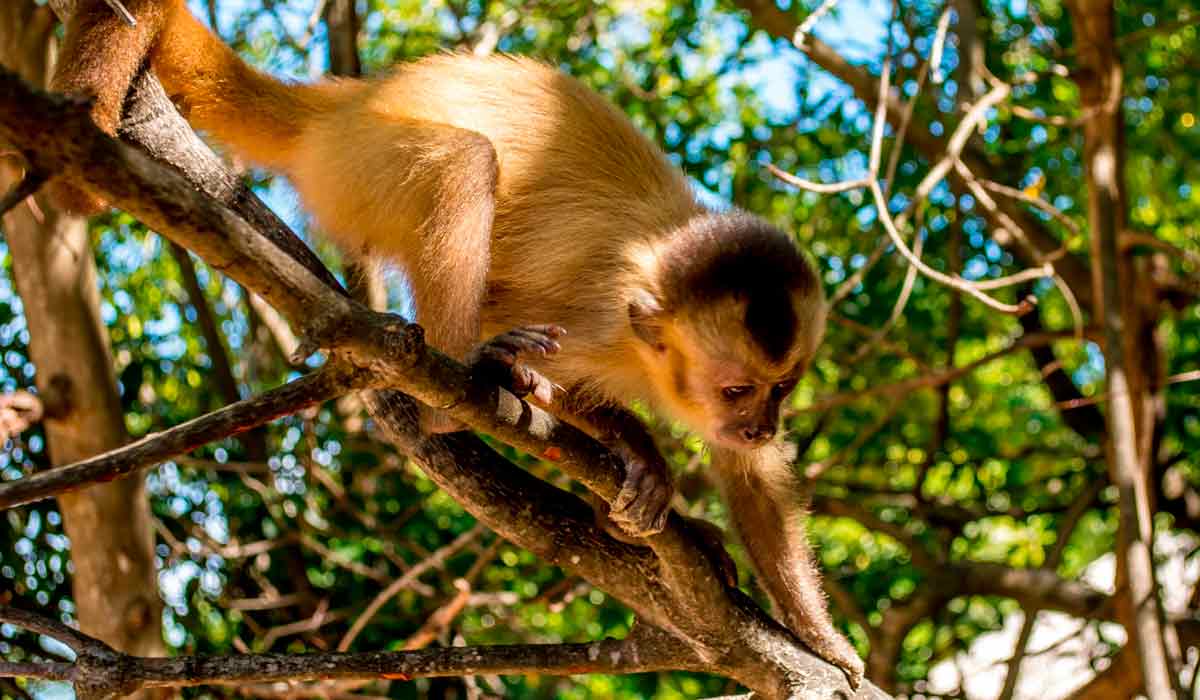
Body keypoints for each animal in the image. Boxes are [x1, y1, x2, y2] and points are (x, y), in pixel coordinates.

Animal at [49, 0, 864, 686]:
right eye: (736, 389)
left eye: (782, 389)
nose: (761, 421)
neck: (648, 338)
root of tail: (346, 102)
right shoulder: (599, 325)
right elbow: (549, 359)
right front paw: (640, 454)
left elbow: (751, 474)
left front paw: (820, 638)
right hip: (359, 166)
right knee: (464, 165)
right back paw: (467, 382)